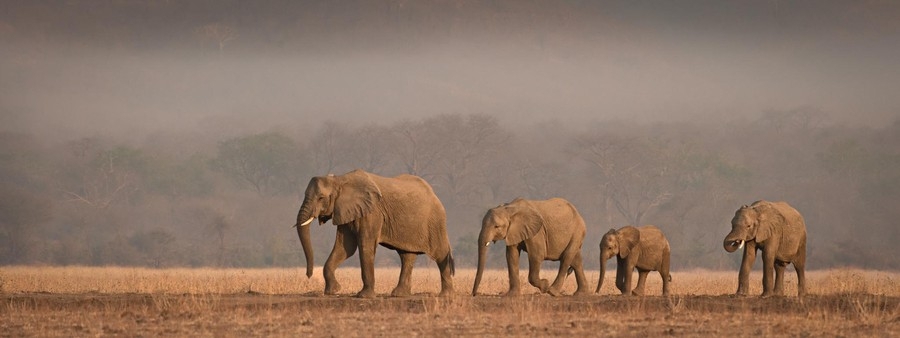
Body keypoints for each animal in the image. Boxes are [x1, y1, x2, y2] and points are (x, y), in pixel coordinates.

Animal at [292, 170, 454, 298]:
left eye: (321, 197)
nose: (309, 275)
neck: (340, 179)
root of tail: (434, 194)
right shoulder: (346, 211)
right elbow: (345, 248)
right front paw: (333, 291)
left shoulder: (372, 212)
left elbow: (365, 245)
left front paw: (363, 296)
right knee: (407, 256)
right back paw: (399, 294)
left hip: (435, 222)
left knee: (440, 253)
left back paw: (445, 295)